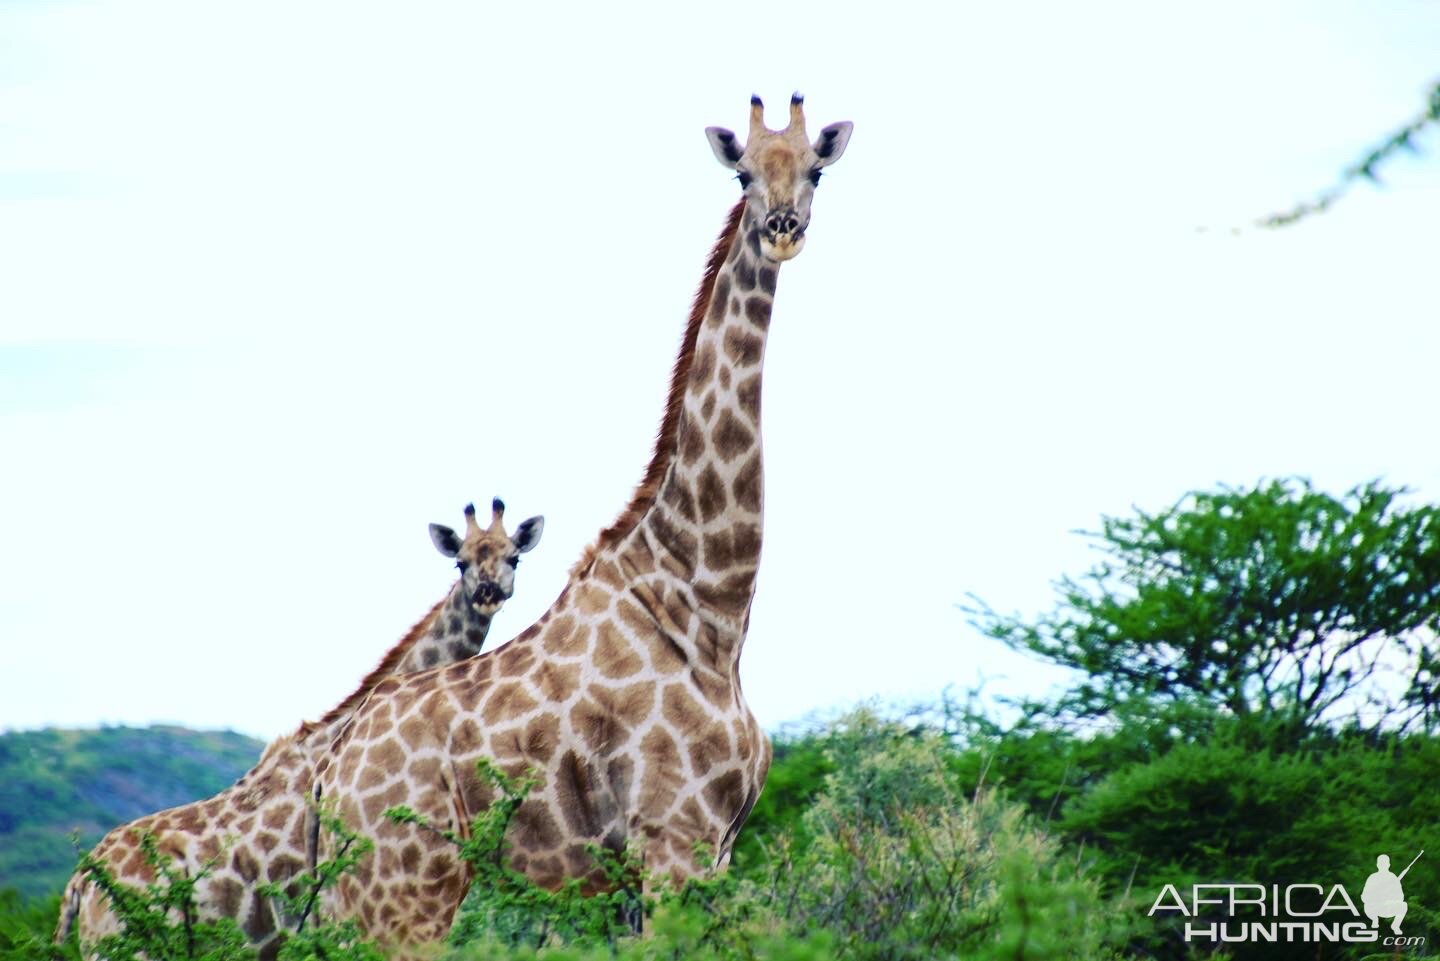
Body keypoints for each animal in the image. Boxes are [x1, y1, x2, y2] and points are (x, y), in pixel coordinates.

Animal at [312, 95, 852, 956]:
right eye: (741, 171)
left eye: (817, 170)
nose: (782, 227)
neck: (712, 606)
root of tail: (329, 778)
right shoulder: (672, 840)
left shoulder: (710, 853)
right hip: (403, 889)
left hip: (362, 895)